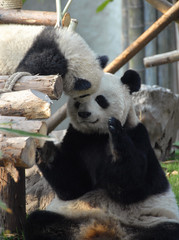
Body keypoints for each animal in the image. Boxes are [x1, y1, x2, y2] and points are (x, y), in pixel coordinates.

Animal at [24, 70, 179, 240]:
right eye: (78, 100)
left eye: (100, 99)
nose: (84, 113)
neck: (97, 135)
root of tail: (105, 228)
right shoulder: (77, 139)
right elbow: (72, 186)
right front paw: (45, 147)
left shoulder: (139, 136)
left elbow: (133, 187)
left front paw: (116, 140)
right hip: (72, 217)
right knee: (38, 221)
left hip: (149, 220)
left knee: (167, 230)